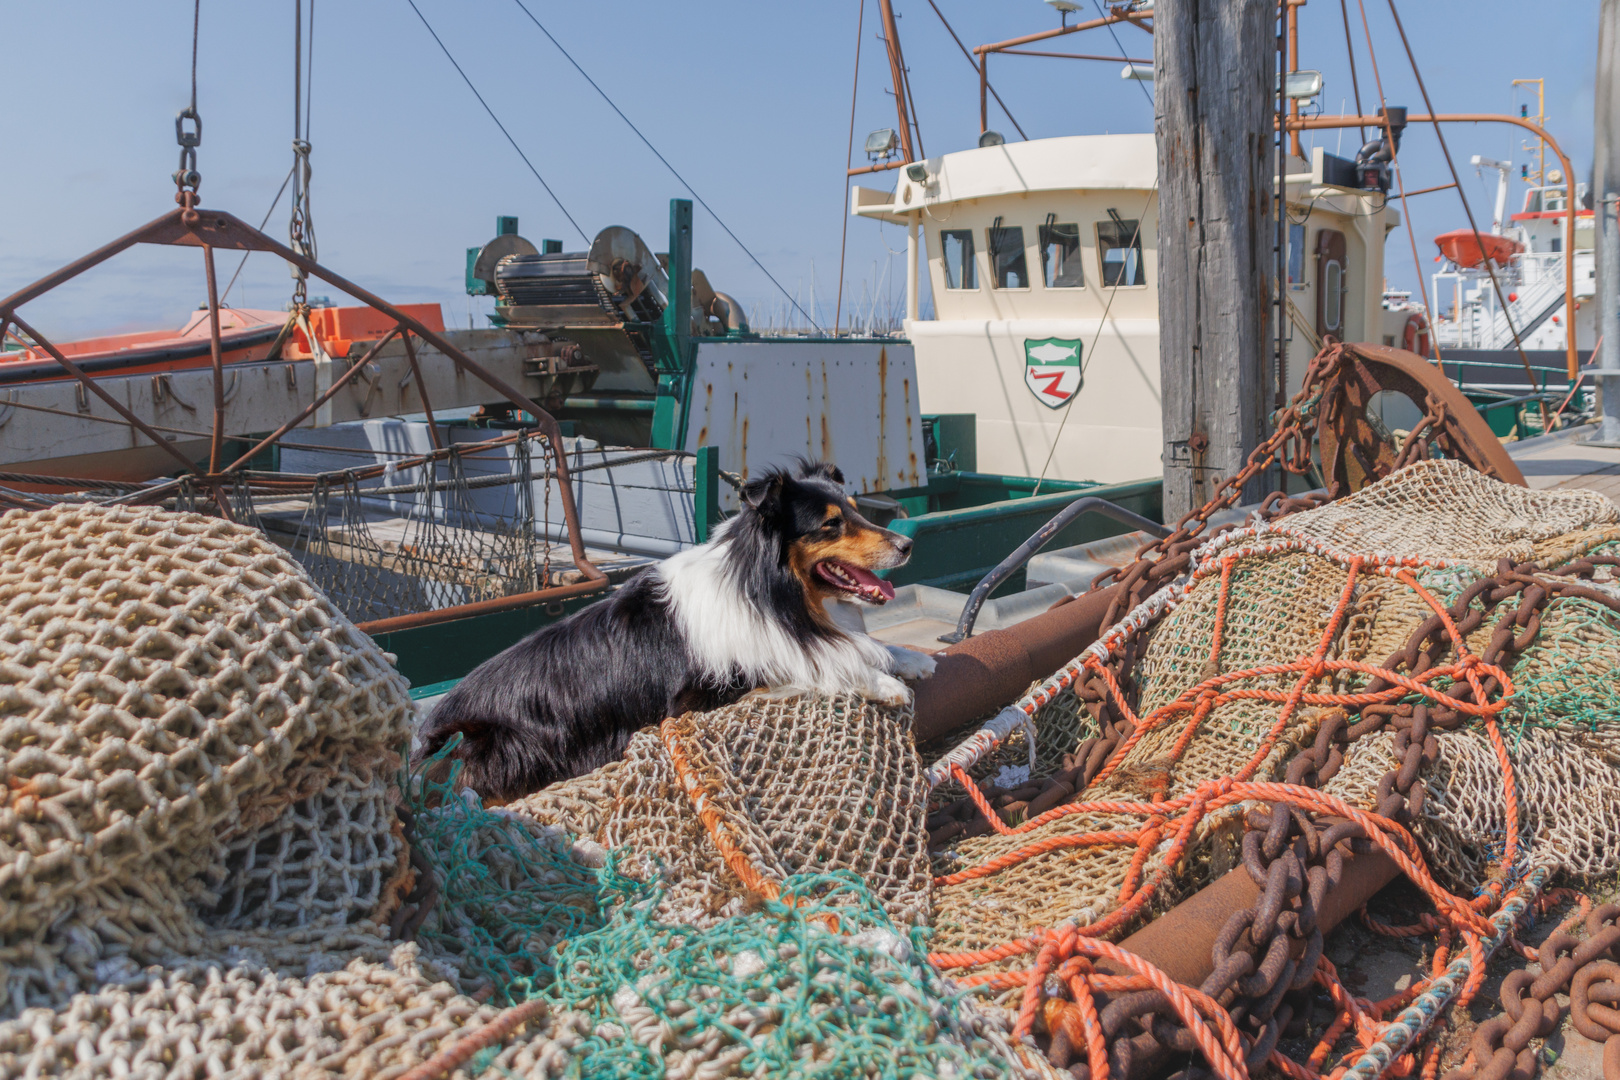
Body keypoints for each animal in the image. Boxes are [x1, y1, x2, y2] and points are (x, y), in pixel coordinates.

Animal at [414, 459, 939, 803]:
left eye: (855, 509)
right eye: (830, 525)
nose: (908, 545)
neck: (768, 591)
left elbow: (864, 644)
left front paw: (909, 657)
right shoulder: (698, 698)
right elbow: (814, 663)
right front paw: (879, 679)